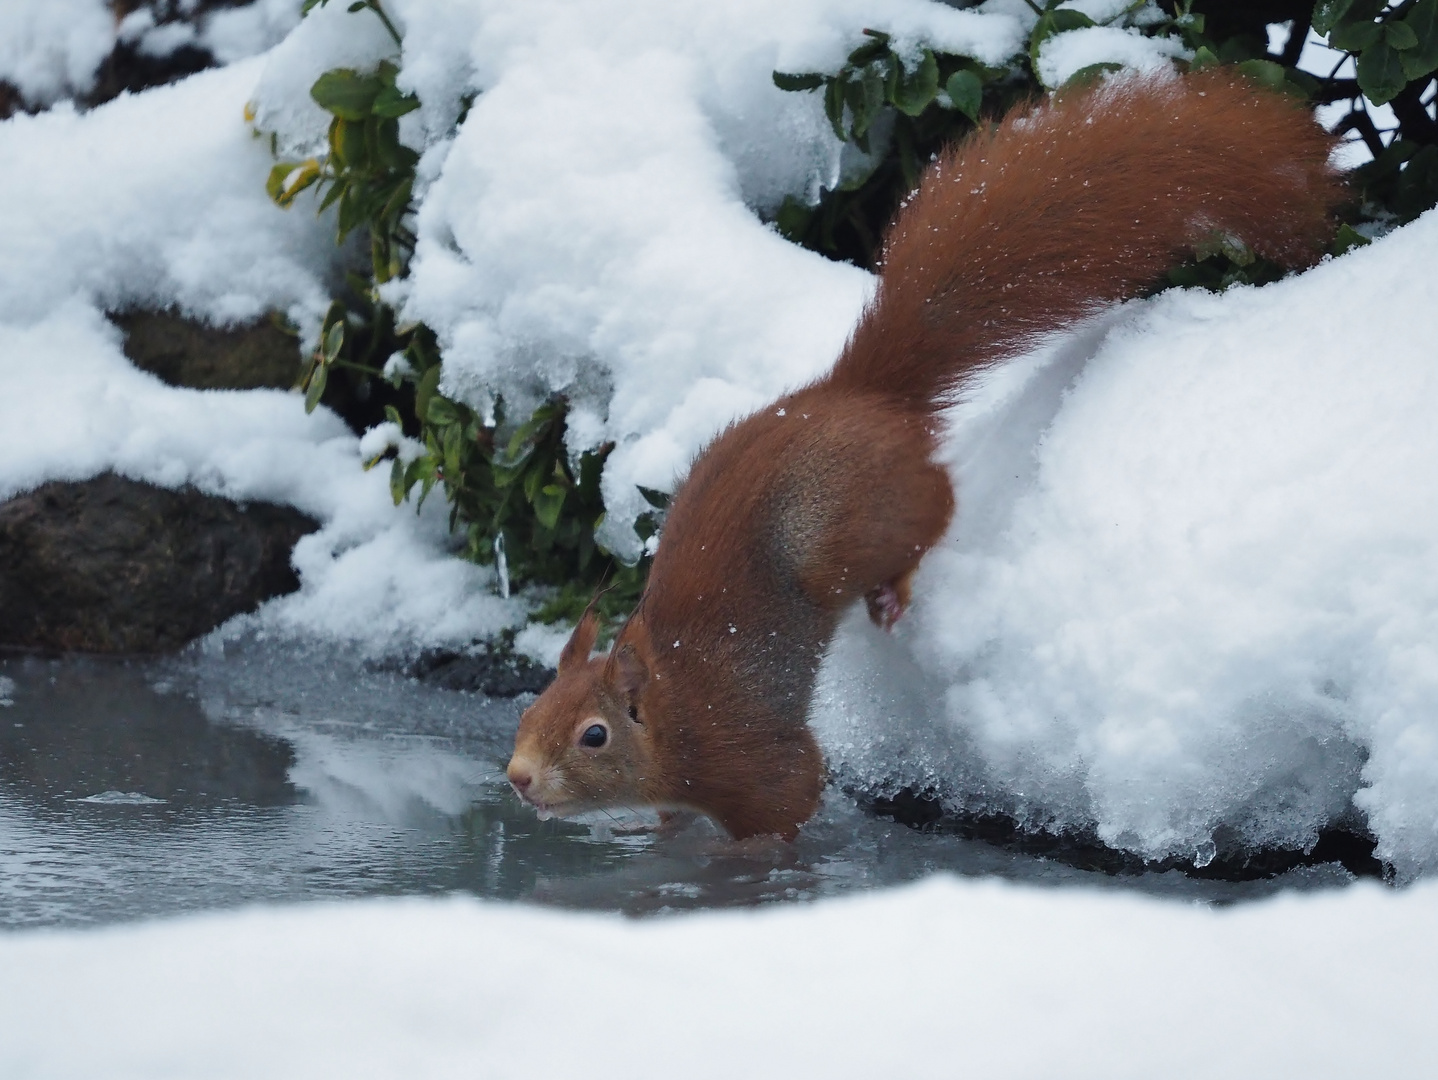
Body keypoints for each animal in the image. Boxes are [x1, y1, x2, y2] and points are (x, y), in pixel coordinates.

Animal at [500, 69, 1340, 845]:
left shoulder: (750, 760)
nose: (516, 778)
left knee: (932, 509)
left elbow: (785, 808)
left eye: (593, 735)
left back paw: (895, 590)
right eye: (530, 711)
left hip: (862, 520)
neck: (672, 715)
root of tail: (860, 392)